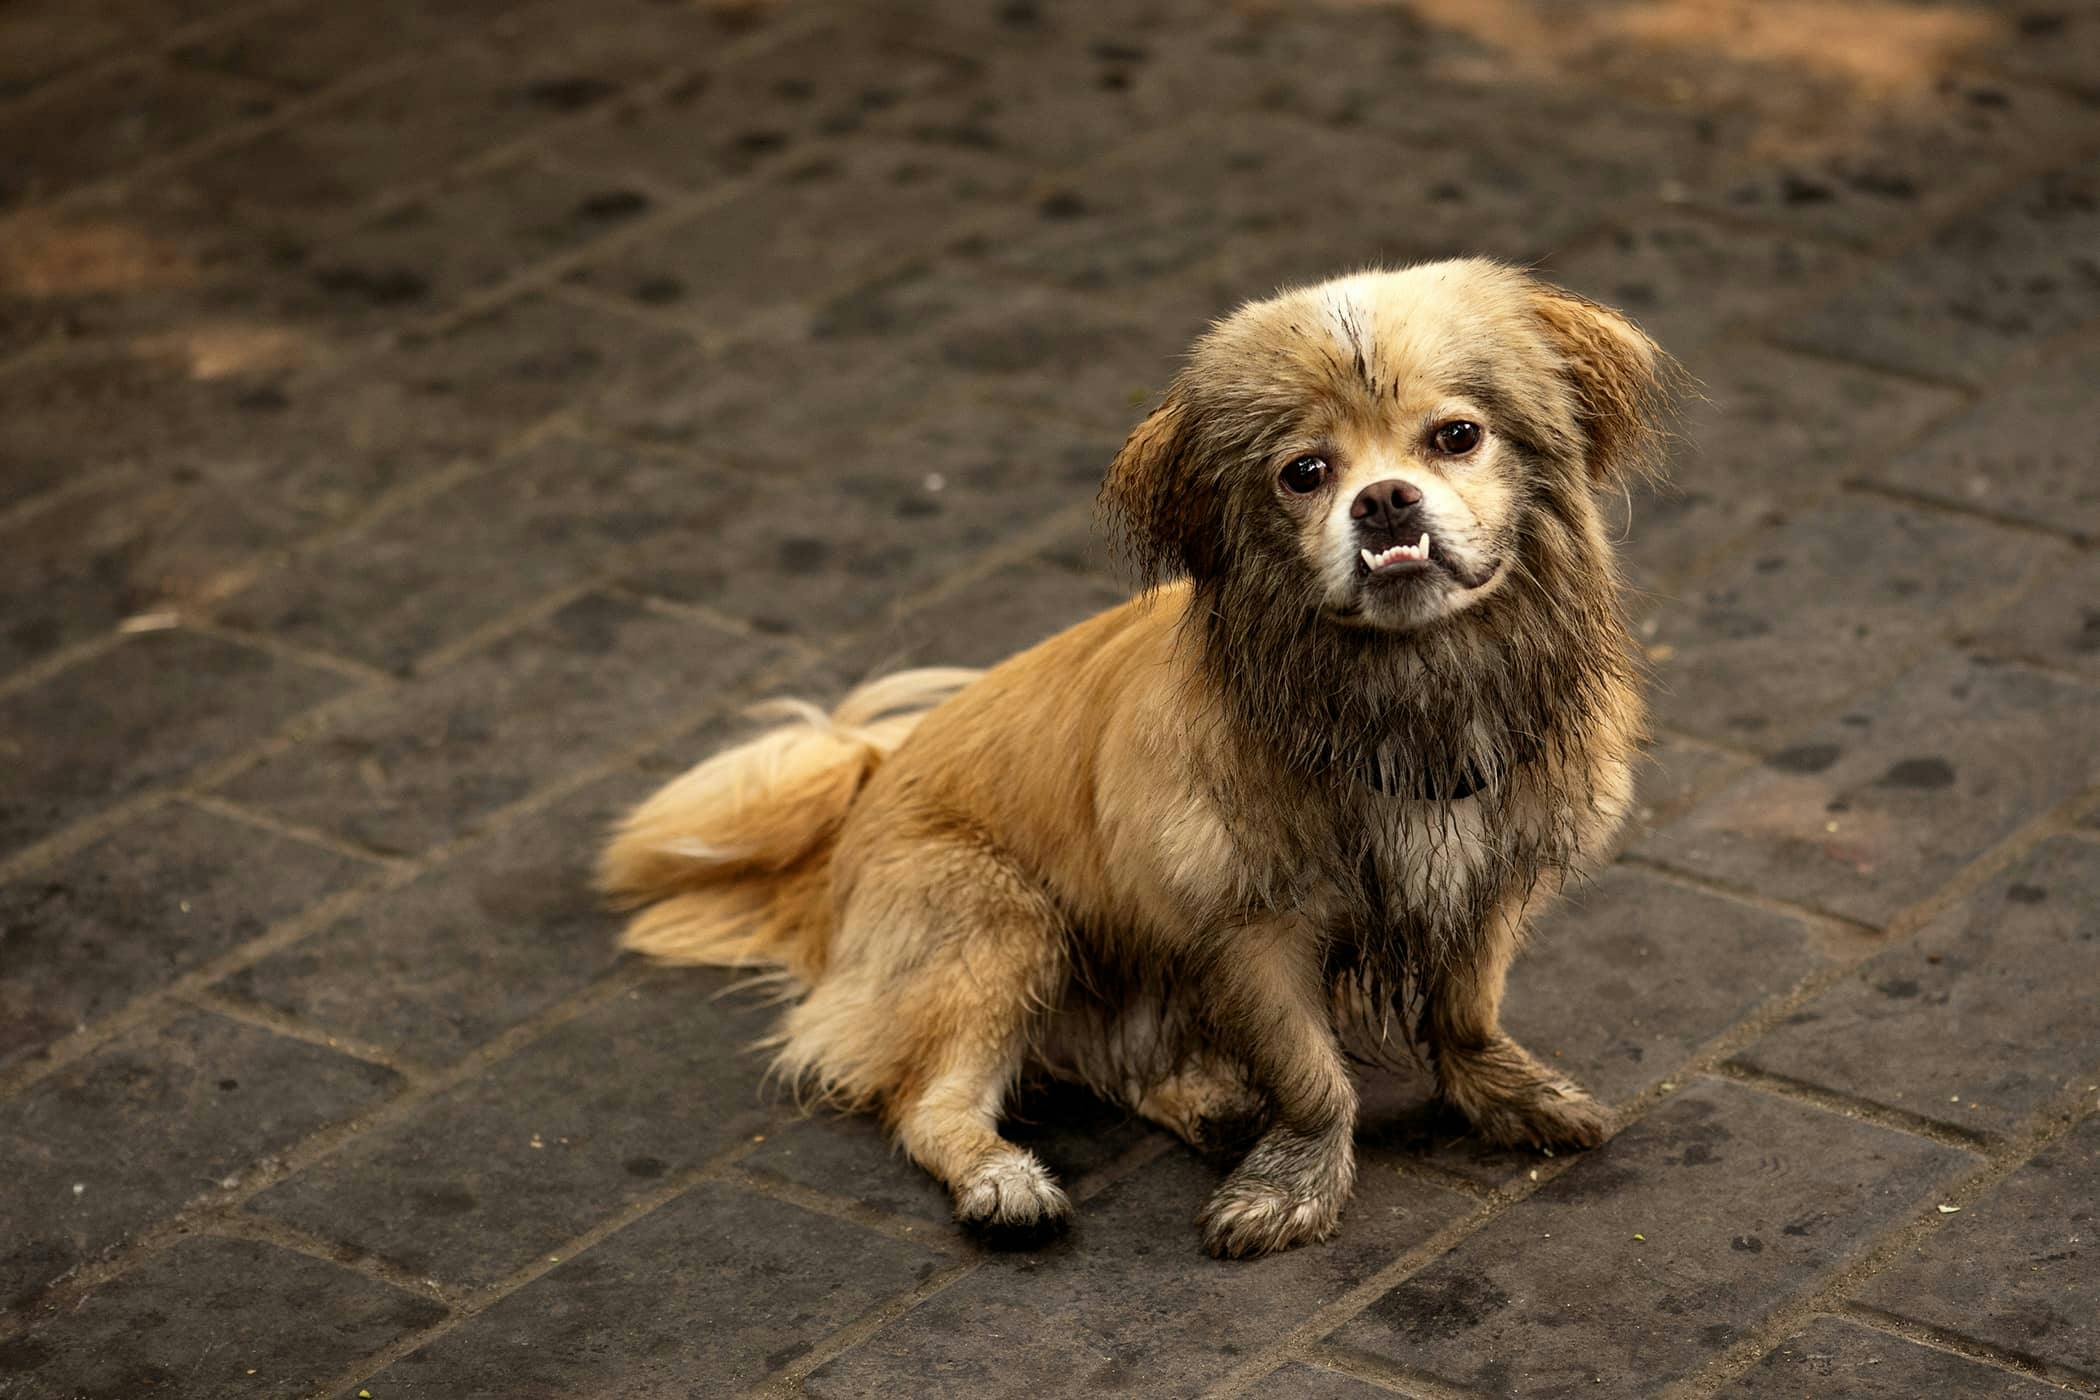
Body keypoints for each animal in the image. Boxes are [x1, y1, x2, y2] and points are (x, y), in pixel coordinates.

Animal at [596, 260, 1671, 1259]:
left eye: (1456, 436)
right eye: (1303, 472)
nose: (1385, 502)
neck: (1407, 692)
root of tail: (852, 812)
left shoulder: (1491, 877)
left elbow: (1466, 1009)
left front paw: (1506, 1096)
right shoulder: (1252, 926)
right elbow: (1312, 1077)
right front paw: (1294, 1188)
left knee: (1120, 1063)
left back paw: (1210, 1103)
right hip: (997, 922)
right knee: (928, 1104)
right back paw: (1004, 1181)